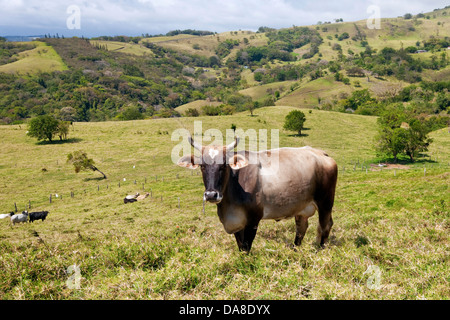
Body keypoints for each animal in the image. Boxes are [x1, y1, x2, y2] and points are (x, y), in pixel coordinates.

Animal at [177, 135, 338, 252]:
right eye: (202, 166)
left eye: (224, 165)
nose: (211, 195)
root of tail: (320, 153)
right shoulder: (237, 222)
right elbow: (241, 246)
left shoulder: (253, 219)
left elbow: (247, 246)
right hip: (302, 207)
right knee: (301, 228)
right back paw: (295, 250)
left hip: (325, 203)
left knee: (324, 226)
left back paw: (320, 251)